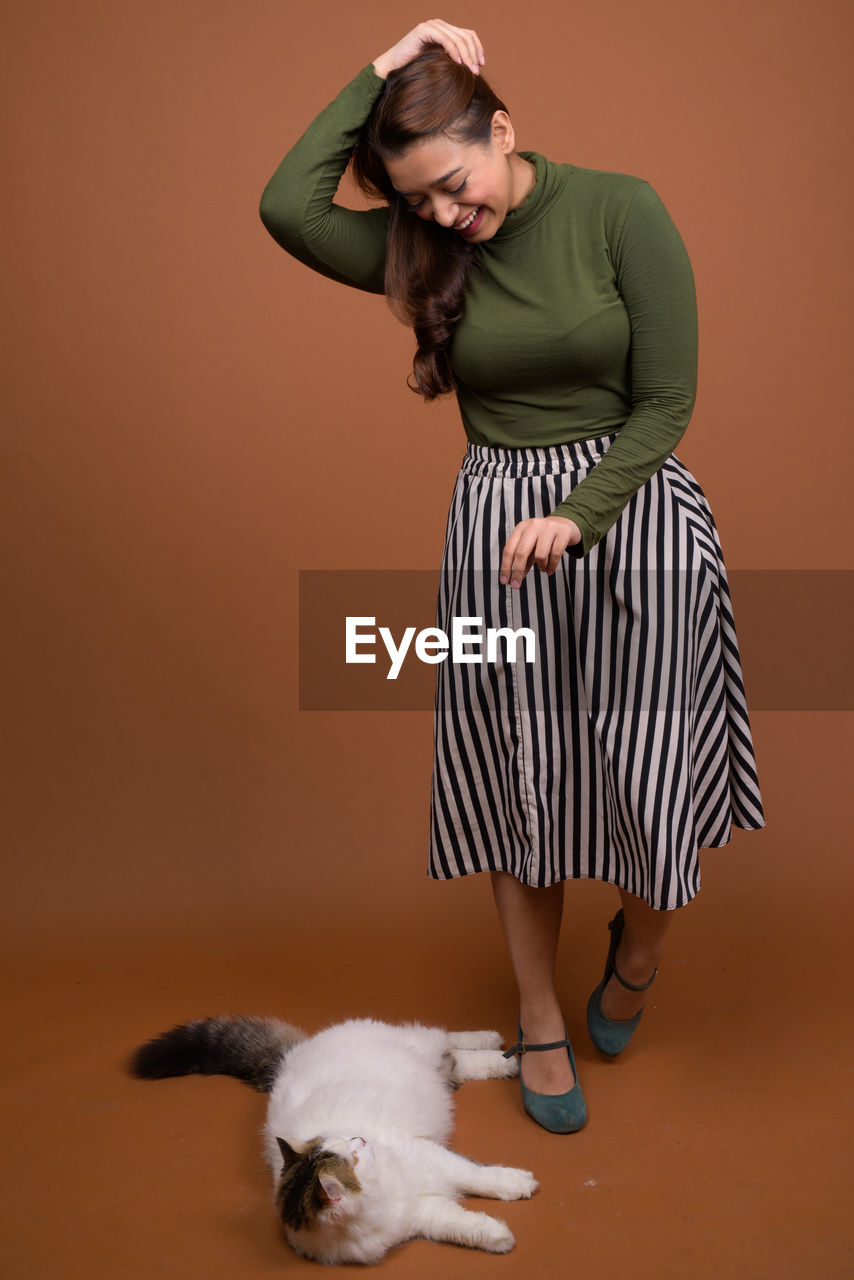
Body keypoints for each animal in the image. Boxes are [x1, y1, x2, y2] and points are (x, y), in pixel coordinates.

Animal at [130, 1013, 537, 1264]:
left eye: (346, 1146)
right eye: (351, 1158)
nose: (360, 1139)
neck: (391, 1193)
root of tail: (290, 1055)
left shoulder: (429, 1155)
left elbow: (479, 1175)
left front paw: (518, 1183)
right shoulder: (422, 1214)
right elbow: (464, 1225)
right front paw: (499, 1237)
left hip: (416, 1044)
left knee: (448, 1039)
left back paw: (503, 1048)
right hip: (436, 1068)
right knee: (456, 1061)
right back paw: (505, 1057)